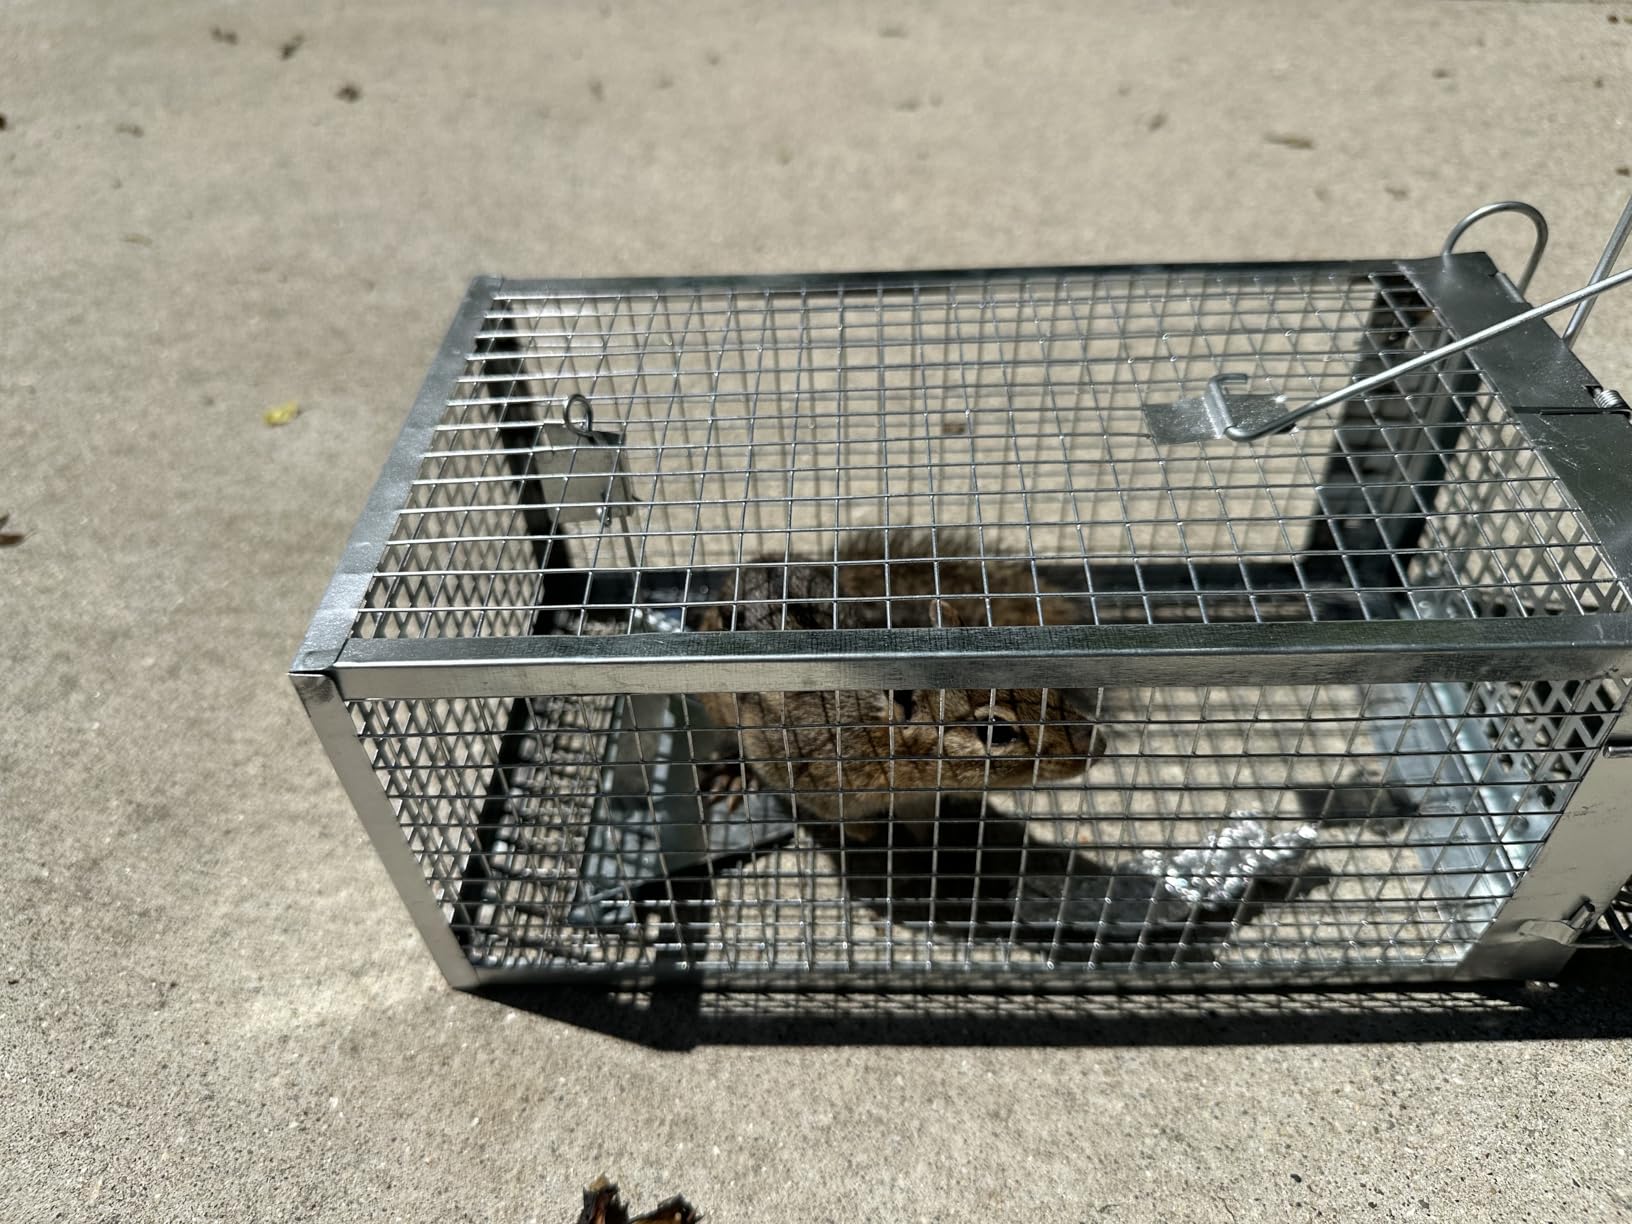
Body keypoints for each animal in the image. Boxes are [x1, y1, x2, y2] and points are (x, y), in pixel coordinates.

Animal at [696, 530, 1104, 841]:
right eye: (996, 731)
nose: (1097, 745)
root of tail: (762, 559)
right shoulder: (802, 774)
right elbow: (843, 819)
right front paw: (870, 836)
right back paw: (731, 774)